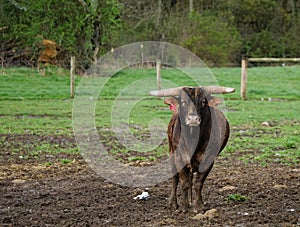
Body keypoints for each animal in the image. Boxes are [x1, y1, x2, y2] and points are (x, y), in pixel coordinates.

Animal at [150, 86, 234, 214]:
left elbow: (198, 183)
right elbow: (185, 183)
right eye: (183, 101)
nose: (193, 119)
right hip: (171, 152)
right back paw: (173, 203)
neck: (192, 138)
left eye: (203, 102)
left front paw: (198, 206)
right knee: (175, 178)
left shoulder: (208, 159)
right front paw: (184, 206)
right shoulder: (179, 157)